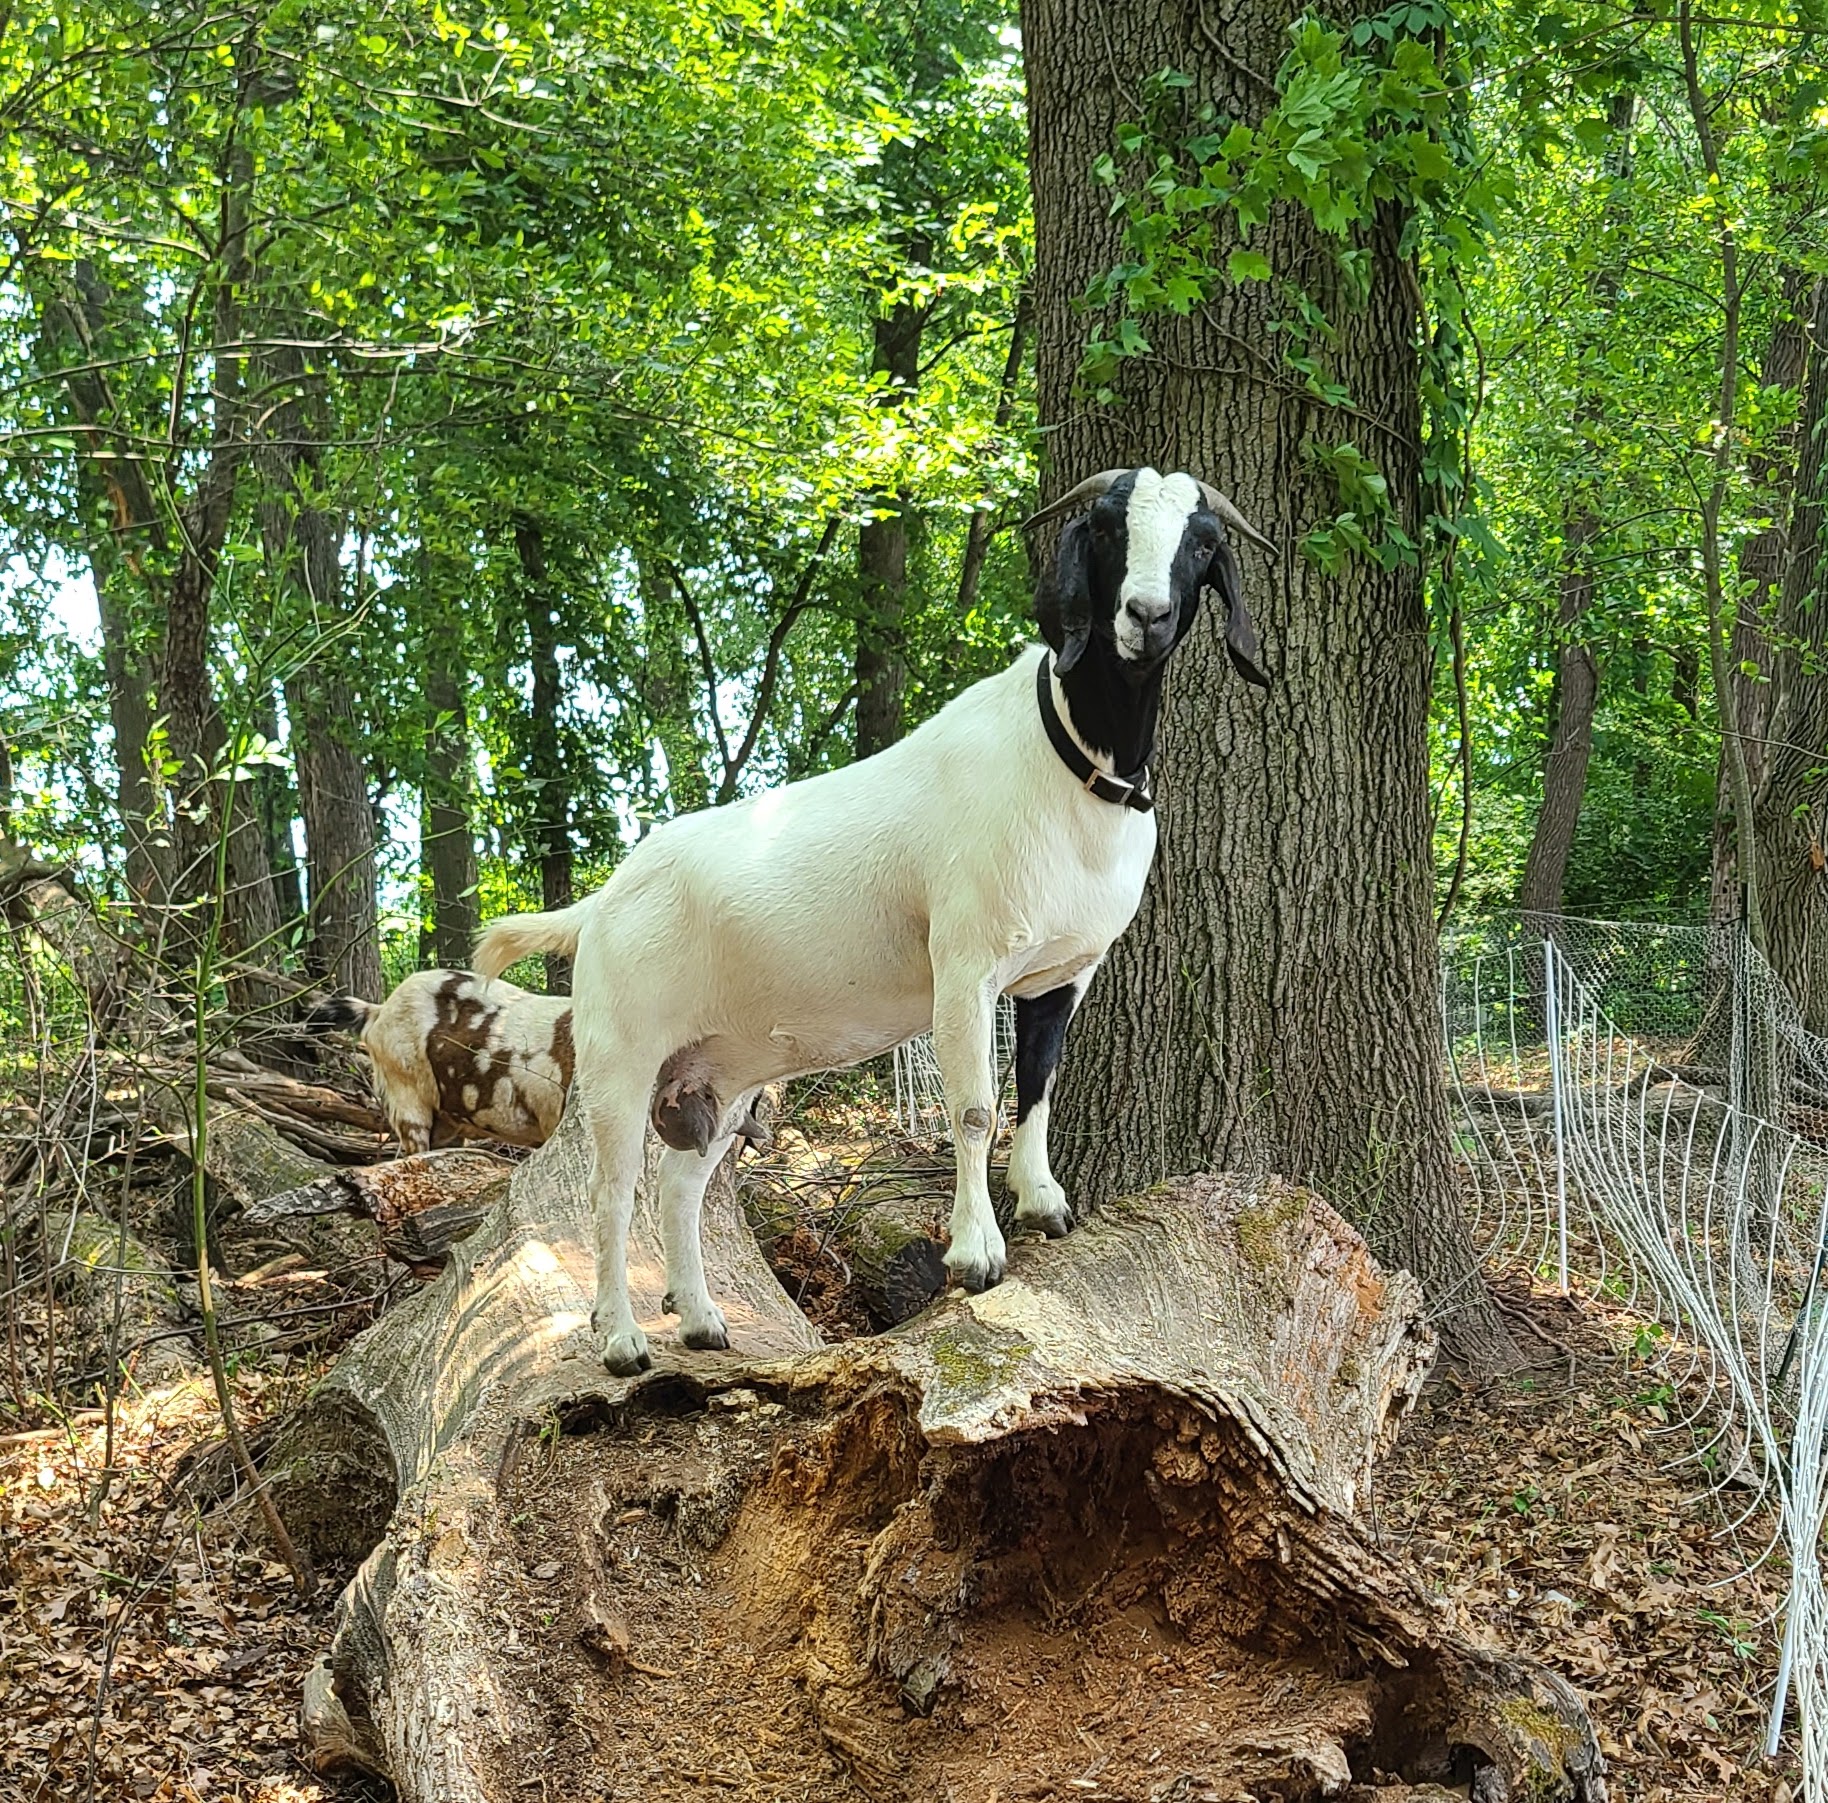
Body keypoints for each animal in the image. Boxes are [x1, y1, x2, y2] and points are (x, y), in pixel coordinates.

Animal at [474, 467, 1272, 1374]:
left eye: (1203, 543)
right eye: (1106, 527)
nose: (1146, 615)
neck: (1069, 758)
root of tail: (603, 901)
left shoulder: (1061, 975)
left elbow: (1037, 1084)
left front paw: (1044, 1203)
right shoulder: (965, 966)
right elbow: (975, 1108)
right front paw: (975, 1254)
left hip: (723, 1074)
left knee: (681, 1188)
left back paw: (704, 1321)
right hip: (621, 1056)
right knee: (611, 1193)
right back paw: (620, 1339)